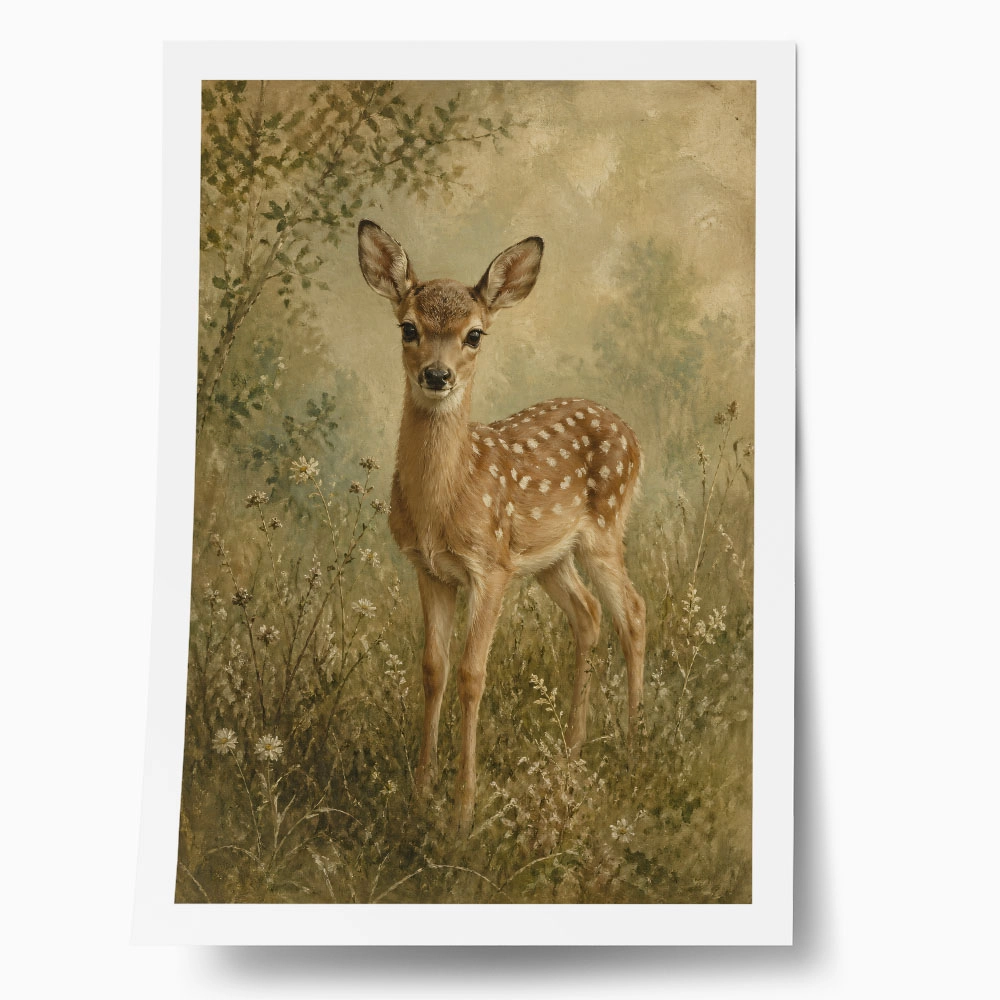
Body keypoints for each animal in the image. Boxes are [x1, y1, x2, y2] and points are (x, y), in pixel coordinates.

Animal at [357, 220, 646, 835]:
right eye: (408, 327)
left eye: (475, 335)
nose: (436, 375)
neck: (444, 501)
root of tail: (631, 434)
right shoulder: (430, 570)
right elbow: (433, 669)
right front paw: (419, 794)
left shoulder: (489, 568)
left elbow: (472, 674)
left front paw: (463, 810)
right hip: (549, 558)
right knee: (589, 614)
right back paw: (571, 750)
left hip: (604, 530)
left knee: (631, 613)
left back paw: (634, 744)